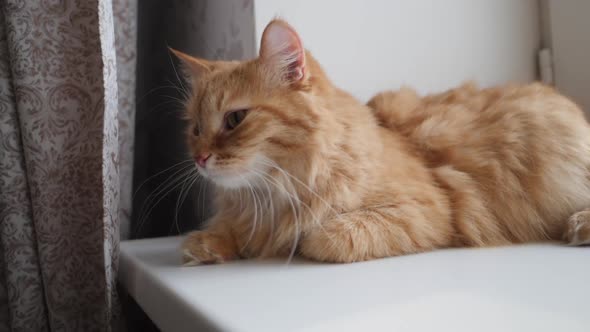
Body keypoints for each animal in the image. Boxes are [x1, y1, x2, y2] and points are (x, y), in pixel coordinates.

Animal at [173, 18, 590, 264]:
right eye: (195, 129)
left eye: (235, 119)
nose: (200, 158)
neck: (275, 193)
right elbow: (228, 233)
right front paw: (210, 243)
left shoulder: (427, 209)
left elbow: (328, 236)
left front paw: (300, 239)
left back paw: (579, 226)